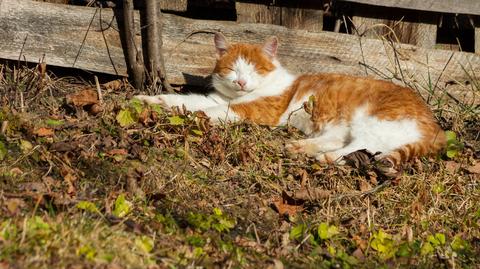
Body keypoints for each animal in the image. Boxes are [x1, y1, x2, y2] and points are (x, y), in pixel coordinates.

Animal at [135, 32, 446, 164]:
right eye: (233, 69)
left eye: (254, 69)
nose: (241, 82)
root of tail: (437, 128)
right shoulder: (219, 99)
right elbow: (190, 101)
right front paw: (153, 101)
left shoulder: (258, 110)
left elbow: (211, 113)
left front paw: (189, 116)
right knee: (342, 141)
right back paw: (300, 148)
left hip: (372, 119)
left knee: (360, 146)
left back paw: (323, 157)